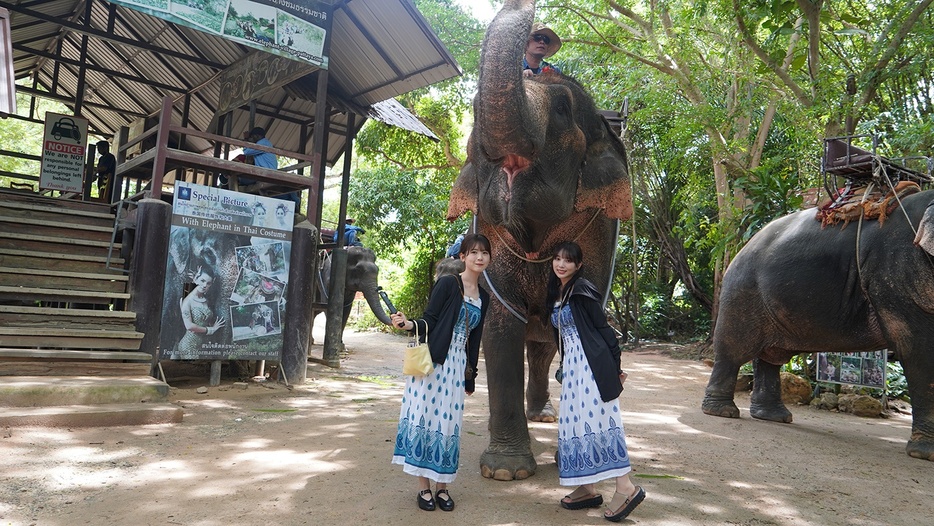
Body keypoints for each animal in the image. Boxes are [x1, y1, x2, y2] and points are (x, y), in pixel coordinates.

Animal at [448, 0, 636, 482]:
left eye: (565, 110)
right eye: (473, 113)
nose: (534, 22)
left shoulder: (599, 228)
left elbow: (577, 326)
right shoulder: (492, 237)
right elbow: (501, 326)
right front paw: (506, 472)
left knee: (545, 346)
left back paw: (546, 415)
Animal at [704, 190, 934, 462]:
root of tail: (743, 245)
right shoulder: (896, 275)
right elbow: (918, 349)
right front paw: (926, 454)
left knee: (771, 357)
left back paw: (775, 417)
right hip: (741, 292)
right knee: (734, 351)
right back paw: (722, 412)